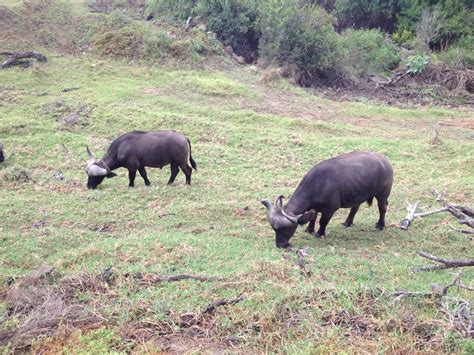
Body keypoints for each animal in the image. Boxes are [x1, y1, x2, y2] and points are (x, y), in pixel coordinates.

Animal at [262, 150, 392, 248]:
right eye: (274, 229)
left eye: (286, 229)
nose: (280, 245)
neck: (318, 184)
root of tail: (385, 161)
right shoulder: (314, 207)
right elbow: (313, 217)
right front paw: (309, 229)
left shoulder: (330, 210)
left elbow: (322, 221)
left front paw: (320, 233)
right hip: (357, 195)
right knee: (354, 208)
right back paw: (347, 222)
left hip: (383, 194)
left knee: (382, 208)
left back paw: (380, 225)